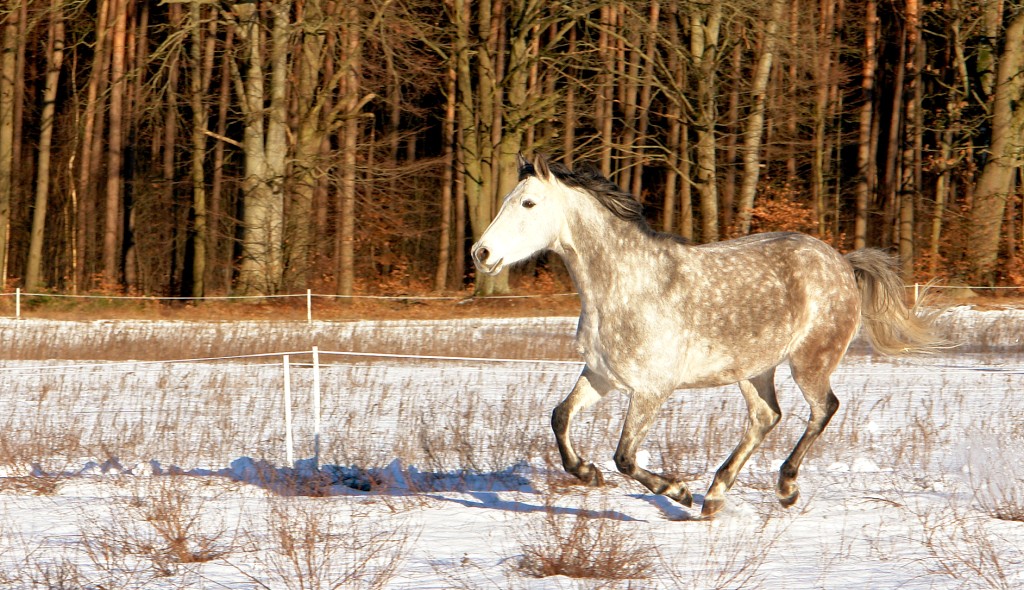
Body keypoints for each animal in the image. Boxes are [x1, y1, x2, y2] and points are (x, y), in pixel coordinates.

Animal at [471, 151, 942, 516]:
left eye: (528, 203)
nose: (482, 253)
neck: (627, 286)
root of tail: (842, 262)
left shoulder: (652, 389)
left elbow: (625, 456)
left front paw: (678, 492)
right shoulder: (603, 376)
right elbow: (560, 417)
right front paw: (587, 472)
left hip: (810, 361)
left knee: (823, 409)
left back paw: (785, 488)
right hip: (753, 369)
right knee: (766, 417)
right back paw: (715, 496)